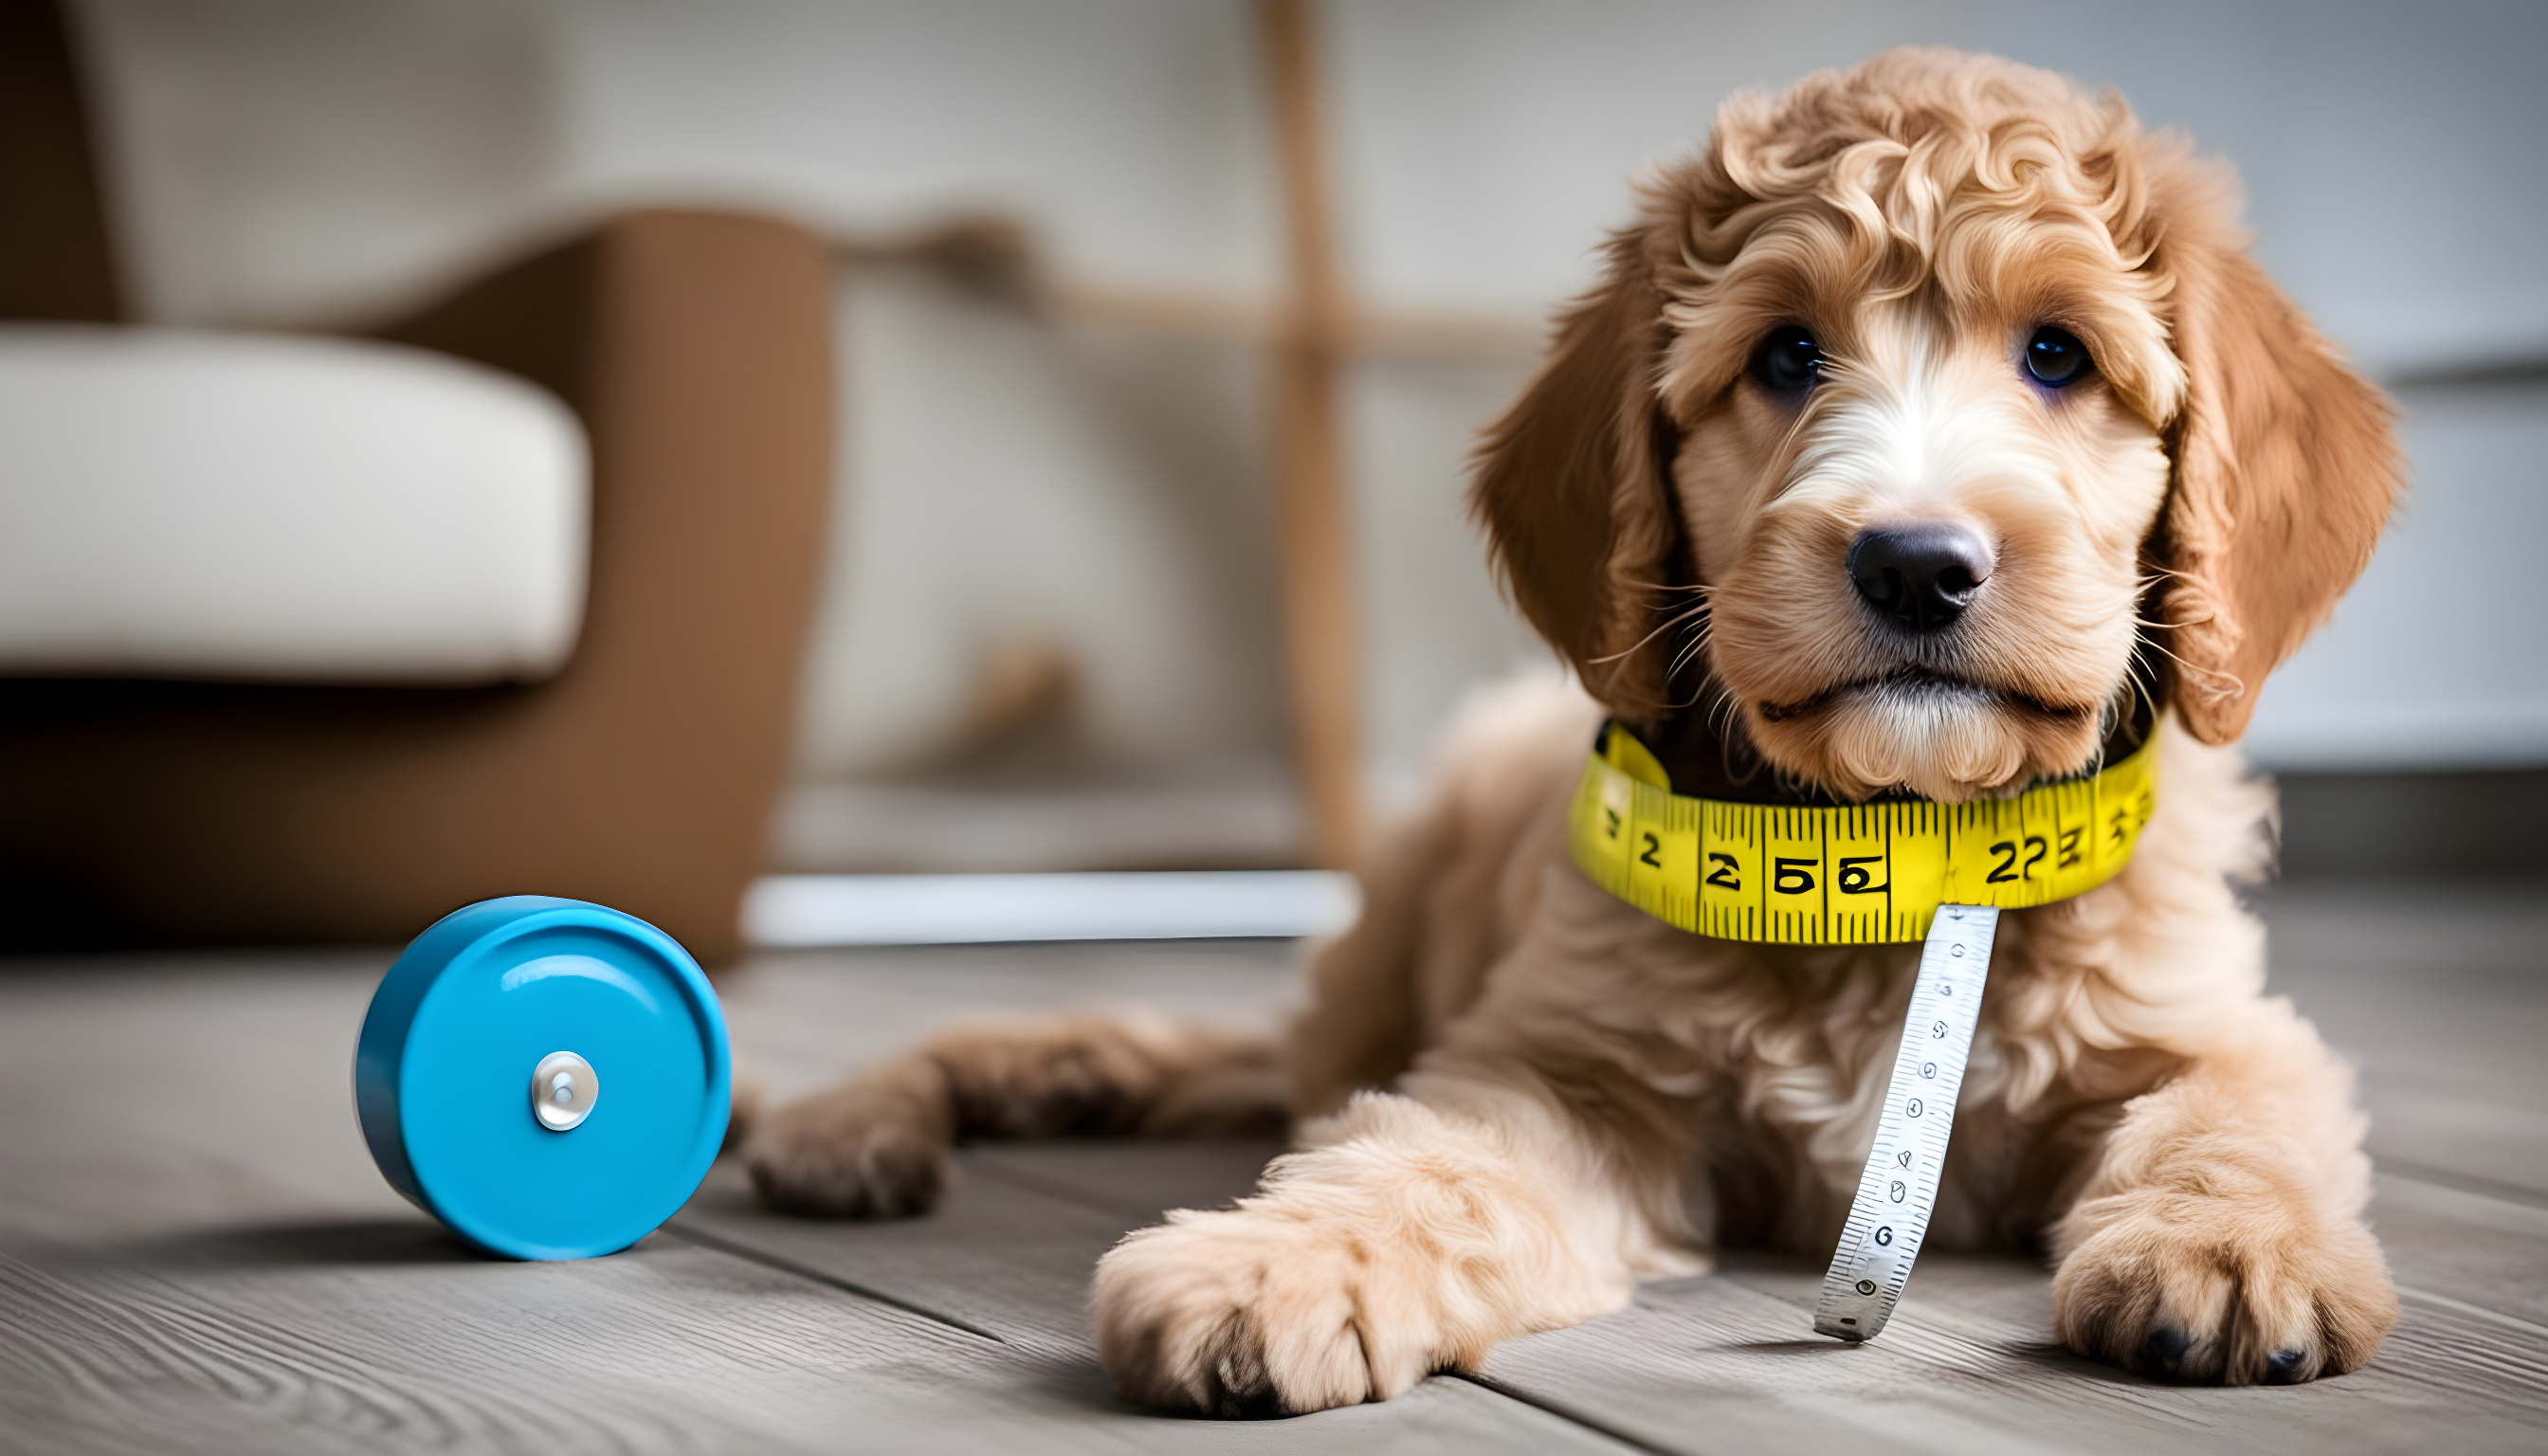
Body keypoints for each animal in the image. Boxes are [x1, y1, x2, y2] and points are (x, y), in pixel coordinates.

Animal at [743, 48, 2405, 1417]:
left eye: (2058, 354)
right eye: (1787, 358)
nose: (1916, 565)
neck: (1890, 847)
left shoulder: (2208, 1018)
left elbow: (2237, 1113)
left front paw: (2229, 1250)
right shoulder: (1556, 1070)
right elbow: (1418, 1159)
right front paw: (1272, 1269)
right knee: (1258, 1064)